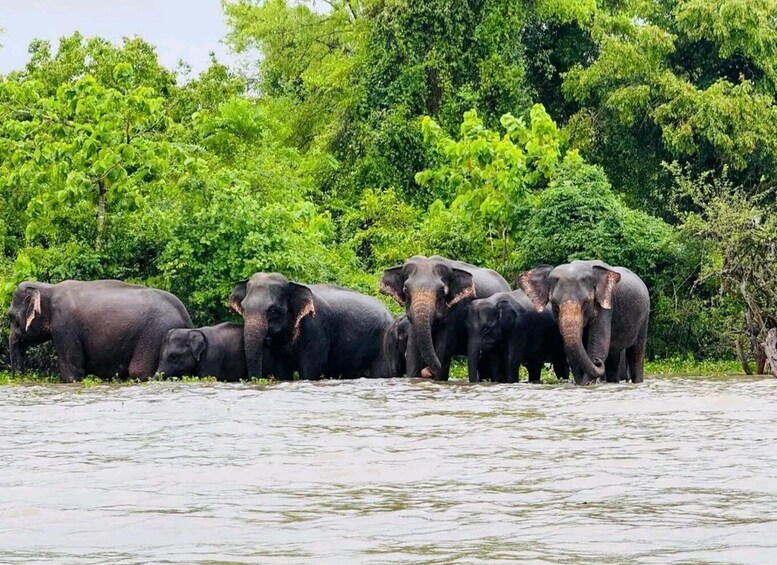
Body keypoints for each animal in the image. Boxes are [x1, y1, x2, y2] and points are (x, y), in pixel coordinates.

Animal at [7, 280, 193, 382]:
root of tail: (185, 315)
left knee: (140, 372)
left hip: (155, 334)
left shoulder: (64, 325)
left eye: (10, 317)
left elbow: (72, 372)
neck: (48, 288)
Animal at [230, 273, 395, 380]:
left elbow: (310, 368)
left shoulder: (316, 327)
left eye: (273, 310)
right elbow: (282, 370)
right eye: (243, 307)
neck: (293, 284)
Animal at [380, 255, 511, 381]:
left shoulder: (455, 310)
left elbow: (442, 351)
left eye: (442, 291)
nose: (427, 371)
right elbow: (413, 353)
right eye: (406, 290)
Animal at [518, 260, 649, 385]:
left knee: (636, 352)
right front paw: (581, 383)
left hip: (644, 316)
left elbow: (599, 344)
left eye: (586, 302)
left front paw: (586, 383)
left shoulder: (605, 305)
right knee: (613, 356)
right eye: (554, 303)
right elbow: (571, 353)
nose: (597, 362)